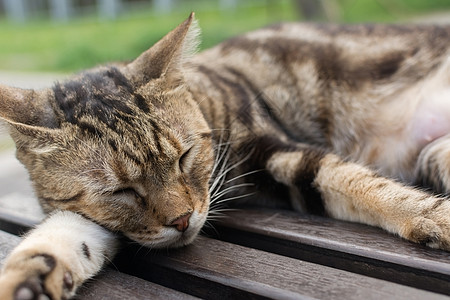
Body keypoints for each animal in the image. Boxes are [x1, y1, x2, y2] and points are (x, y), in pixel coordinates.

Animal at [0, 13, 450, 300]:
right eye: (120, 191)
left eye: (184, 157)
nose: (182, 220)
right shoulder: (93, 217)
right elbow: (62, 236)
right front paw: (28, 276)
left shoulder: (276, 152)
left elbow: (356, 182)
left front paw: (436, 218)